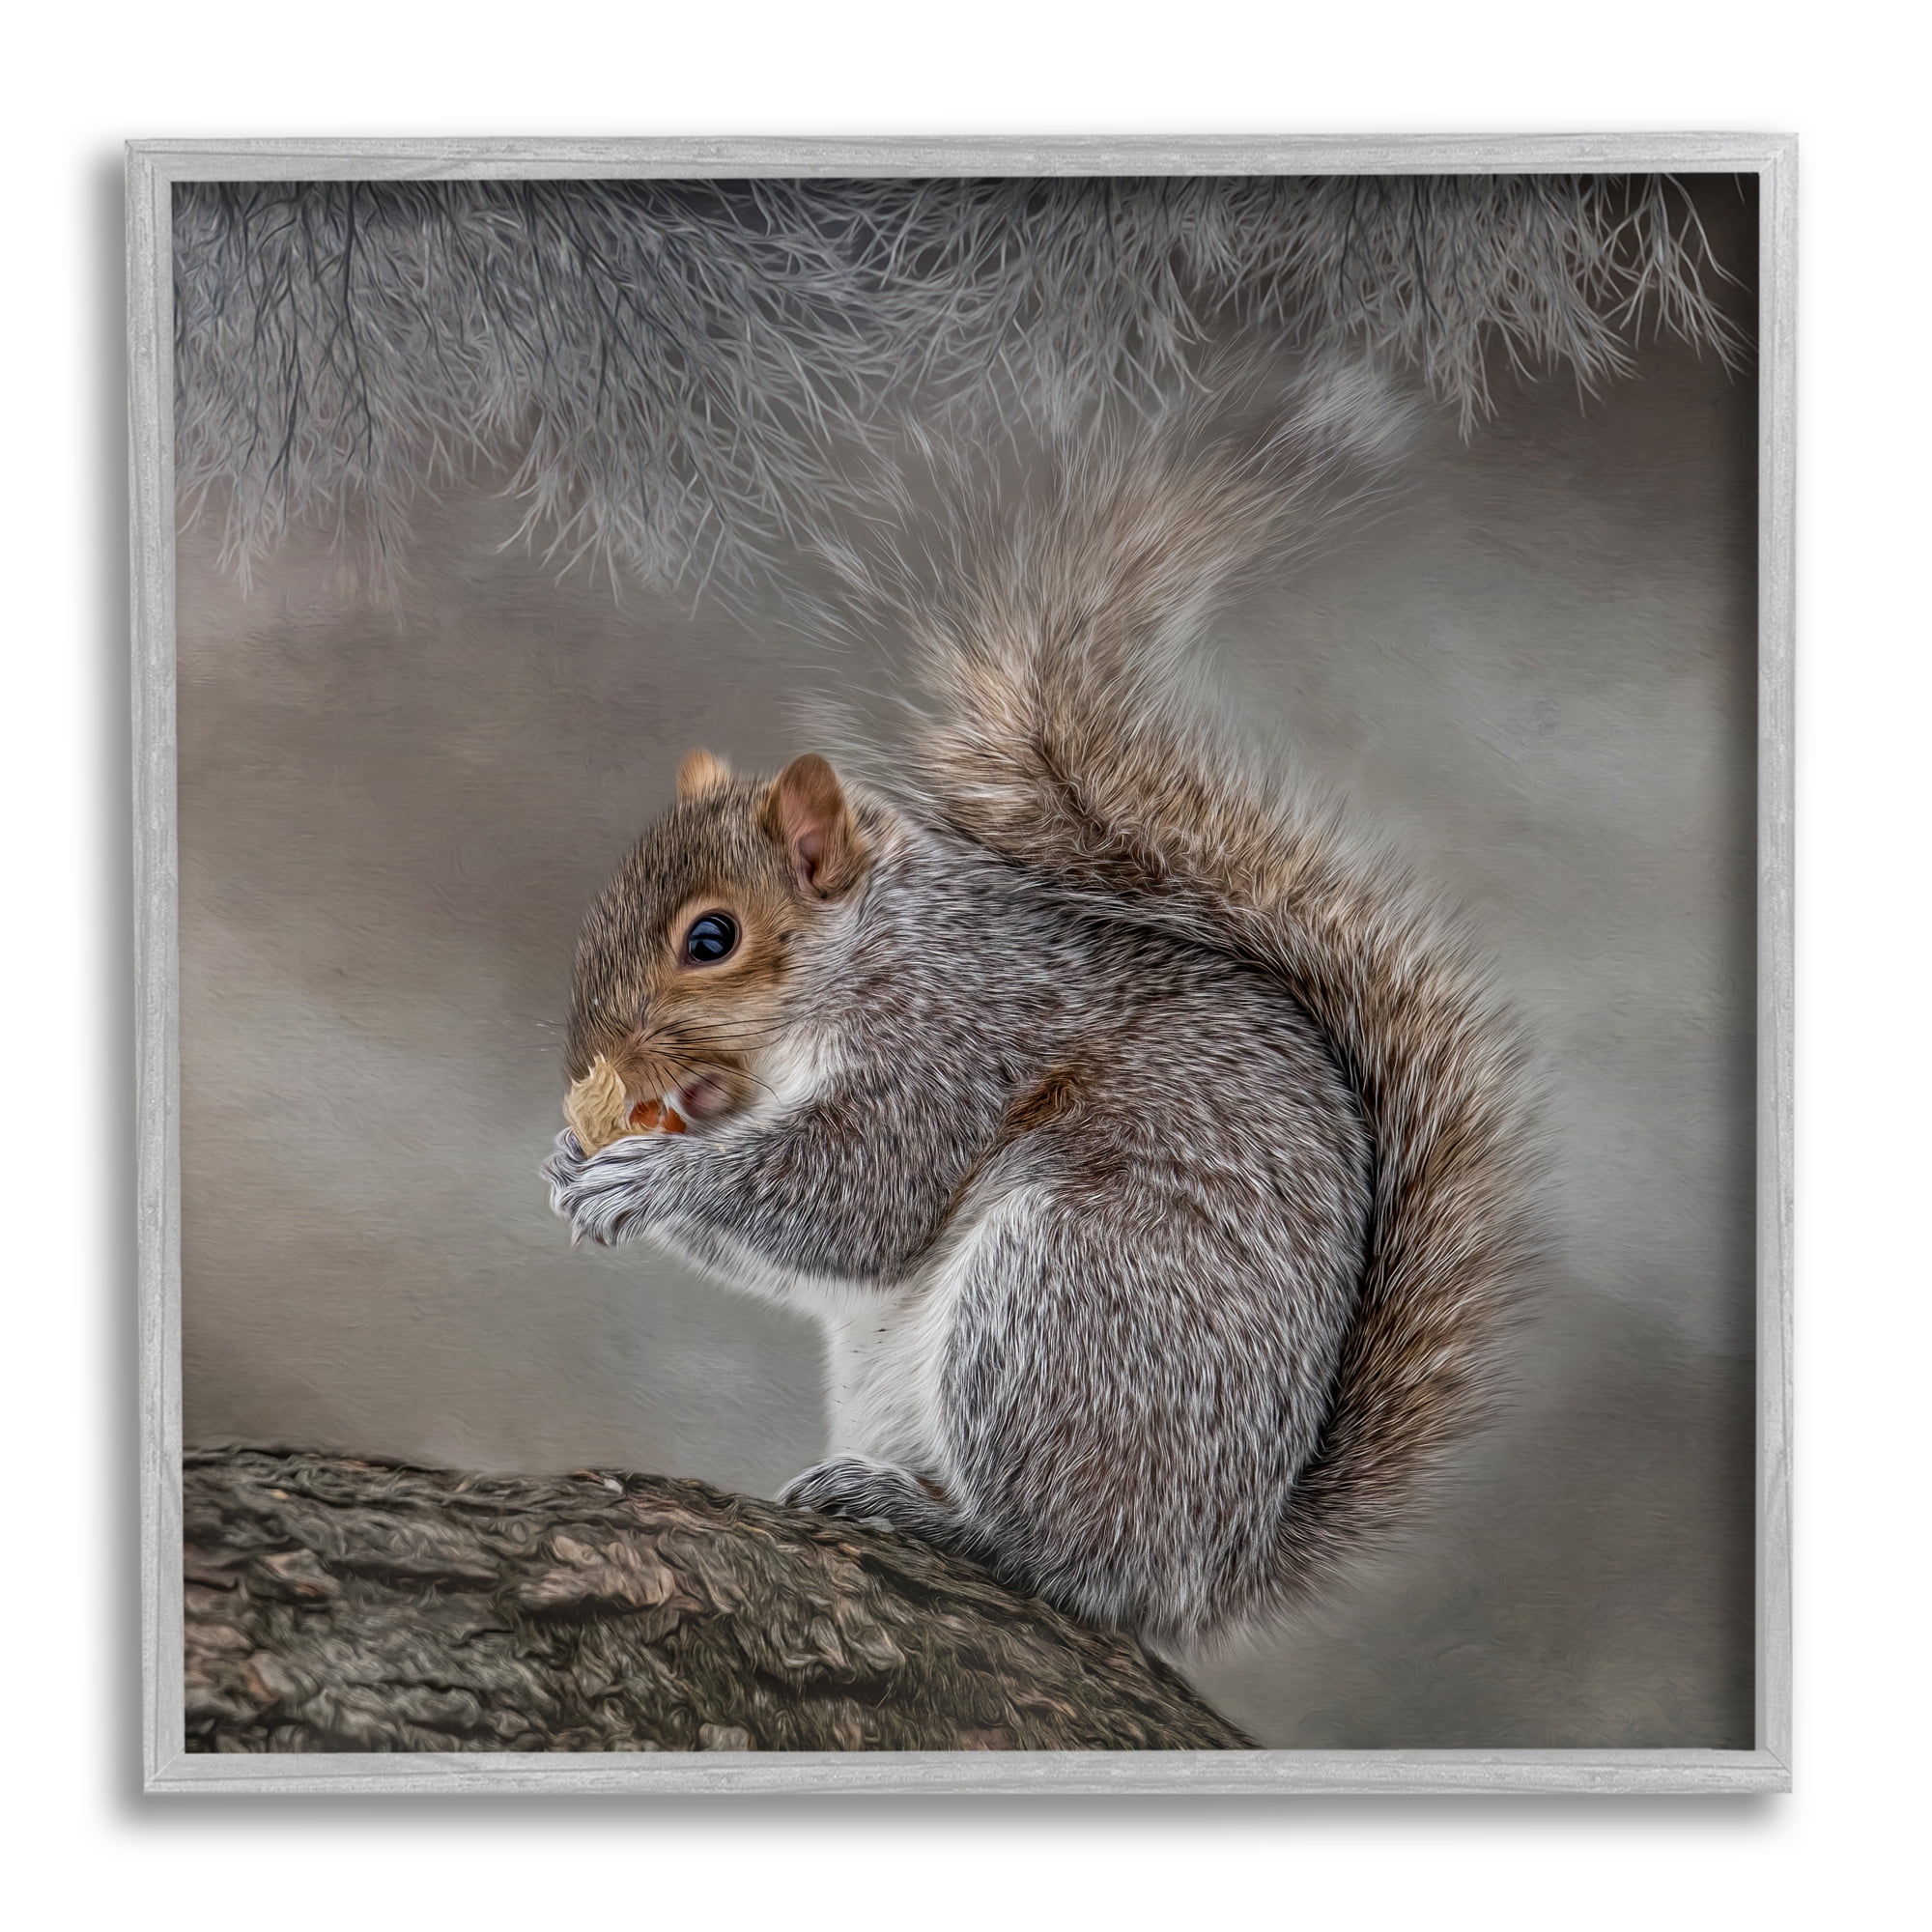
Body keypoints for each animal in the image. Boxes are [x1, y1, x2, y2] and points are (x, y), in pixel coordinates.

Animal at [544, 407, 1535, 1651]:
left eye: (710, 938)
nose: (589, 1063)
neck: (866, 954)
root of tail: (1201, 1568)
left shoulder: (952, 1042)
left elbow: (861, 1201)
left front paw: (650, 1175)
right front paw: (571, 1155)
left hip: (1063, 1306)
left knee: (1057, 1558)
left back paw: (928, 1516)